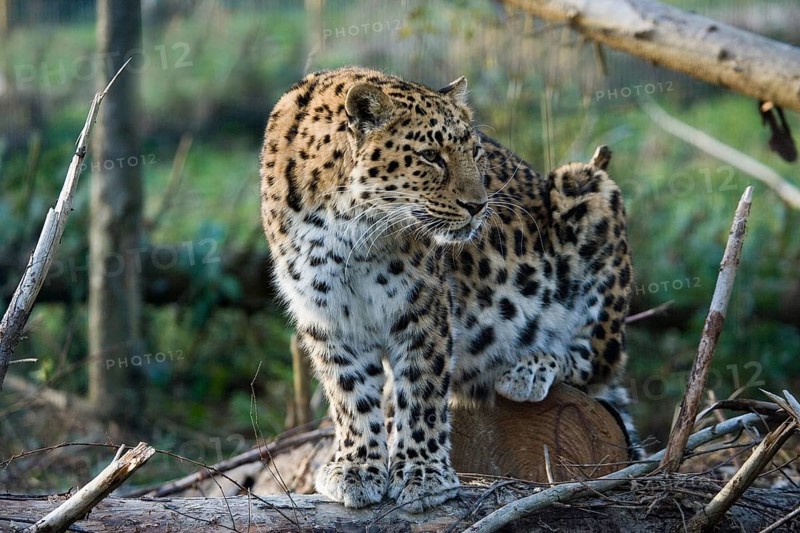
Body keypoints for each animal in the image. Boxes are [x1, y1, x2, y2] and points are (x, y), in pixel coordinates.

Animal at [259, 66, 640, 513]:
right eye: (430, 156)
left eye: (475, 152)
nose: (479, 206)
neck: (348, 229)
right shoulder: (328, 317)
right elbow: (350, 397)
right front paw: (356, 469)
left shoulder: (423, 308)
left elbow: (422, 393)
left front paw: (424, 475)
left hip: (587, 189)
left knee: (599, 359)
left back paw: (528, 365)